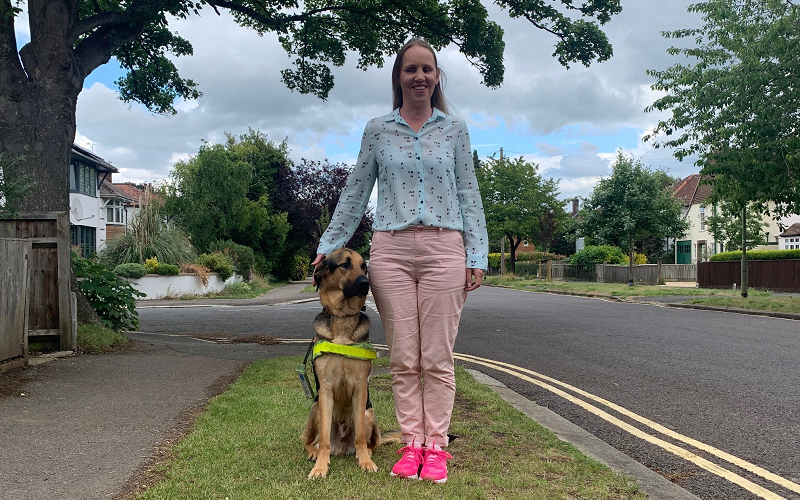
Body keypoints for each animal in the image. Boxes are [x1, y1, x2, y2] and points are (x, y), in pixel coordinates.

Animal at [300, 248, 400, 478]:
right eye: (345, 265)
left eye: (364, 266)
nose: (366, 283)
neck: (343, 318)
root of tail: (342, 447)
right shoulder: (326, 389)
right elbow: (324, 440)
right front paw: (320, 467)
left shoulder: (360, 387)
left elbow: (361, 437)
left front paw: (365, 462)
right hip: (316, 407)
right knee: (310, 441)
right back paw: (313, 453)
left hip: (368, 413)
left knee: (370, 442)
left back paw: (367, 454)